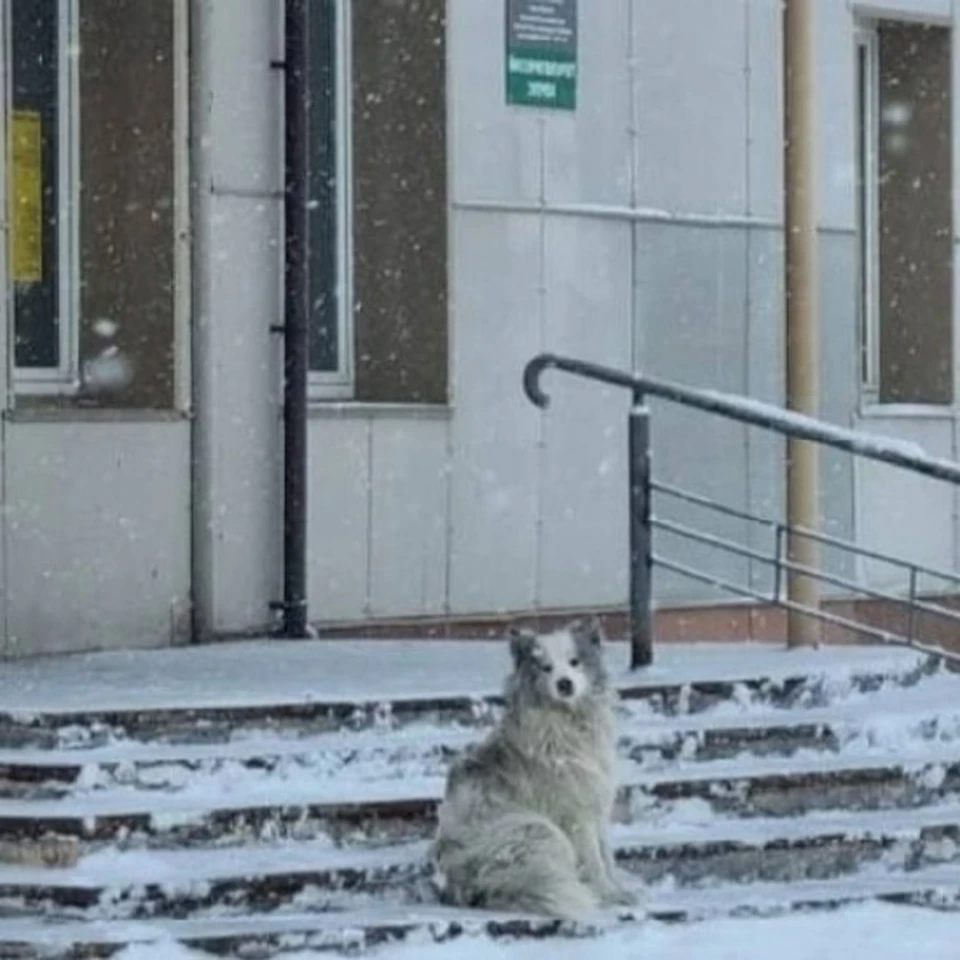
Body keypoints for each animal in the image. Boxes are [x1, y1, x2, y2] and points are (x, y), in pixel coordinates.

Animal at [432, 620, 632, 920]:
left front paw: (618, 888)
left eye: (574, 662)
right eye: (545, 667)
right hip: (538, 829)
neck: (567, 722)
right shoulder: (576, 814)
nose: (564, 683)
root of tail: (466, 887)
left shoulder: (596, 805)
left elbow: (606, 855)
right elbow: (595, 860)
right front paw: (609, 894)